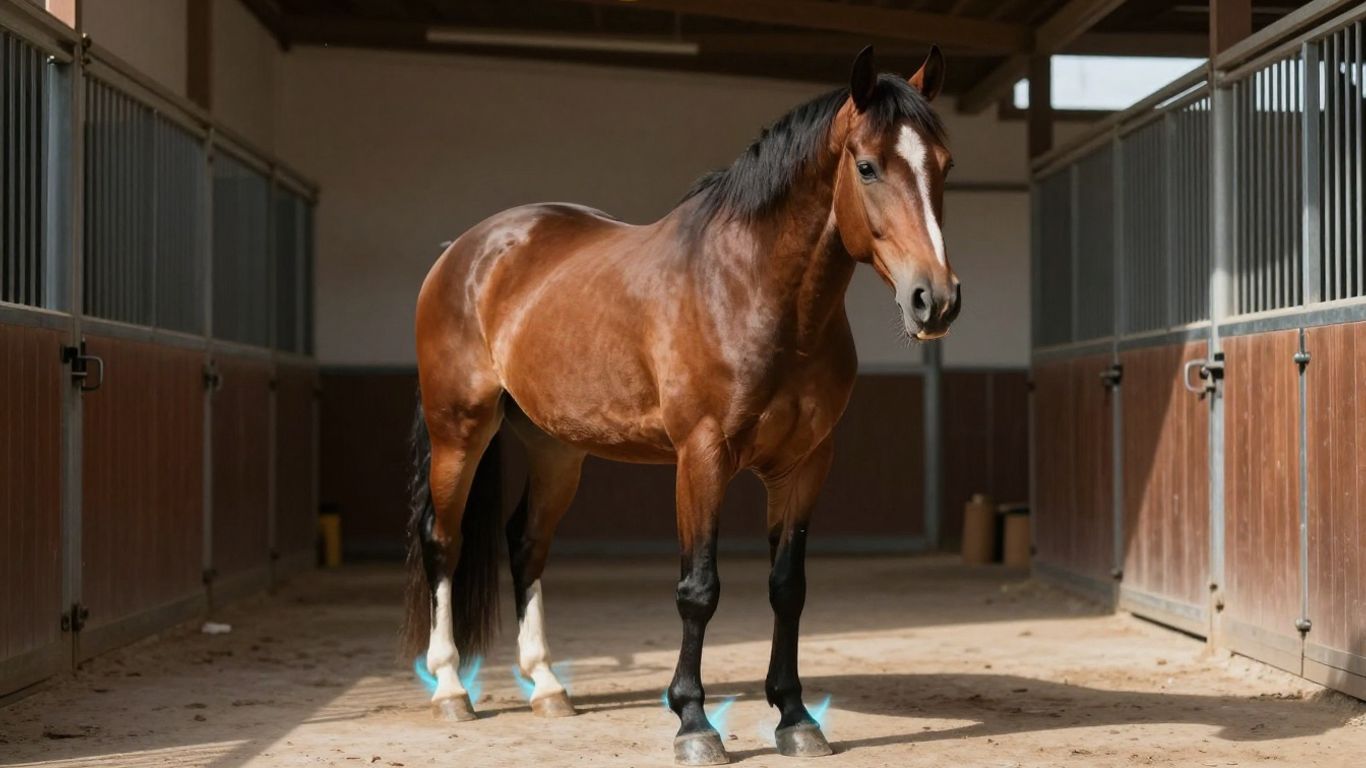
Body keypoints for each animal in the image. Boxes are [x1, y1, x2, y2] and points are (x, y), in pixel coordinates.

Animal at [401, 46, 959, 765]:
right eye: (867, 166)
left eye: (944, 164)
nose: (934, 299)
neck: (754, 289)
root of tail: (462, 254)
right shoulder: (702, 456)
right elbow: (699, 590)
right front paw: (694, 722)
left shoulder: (805, 463)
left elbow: (788, 588)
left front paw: (795, 716)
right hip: (460, 431)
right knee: (444, 540)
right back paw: (449, 689)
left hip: (557, 449)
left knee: (526, 543)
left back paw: (547, 686)